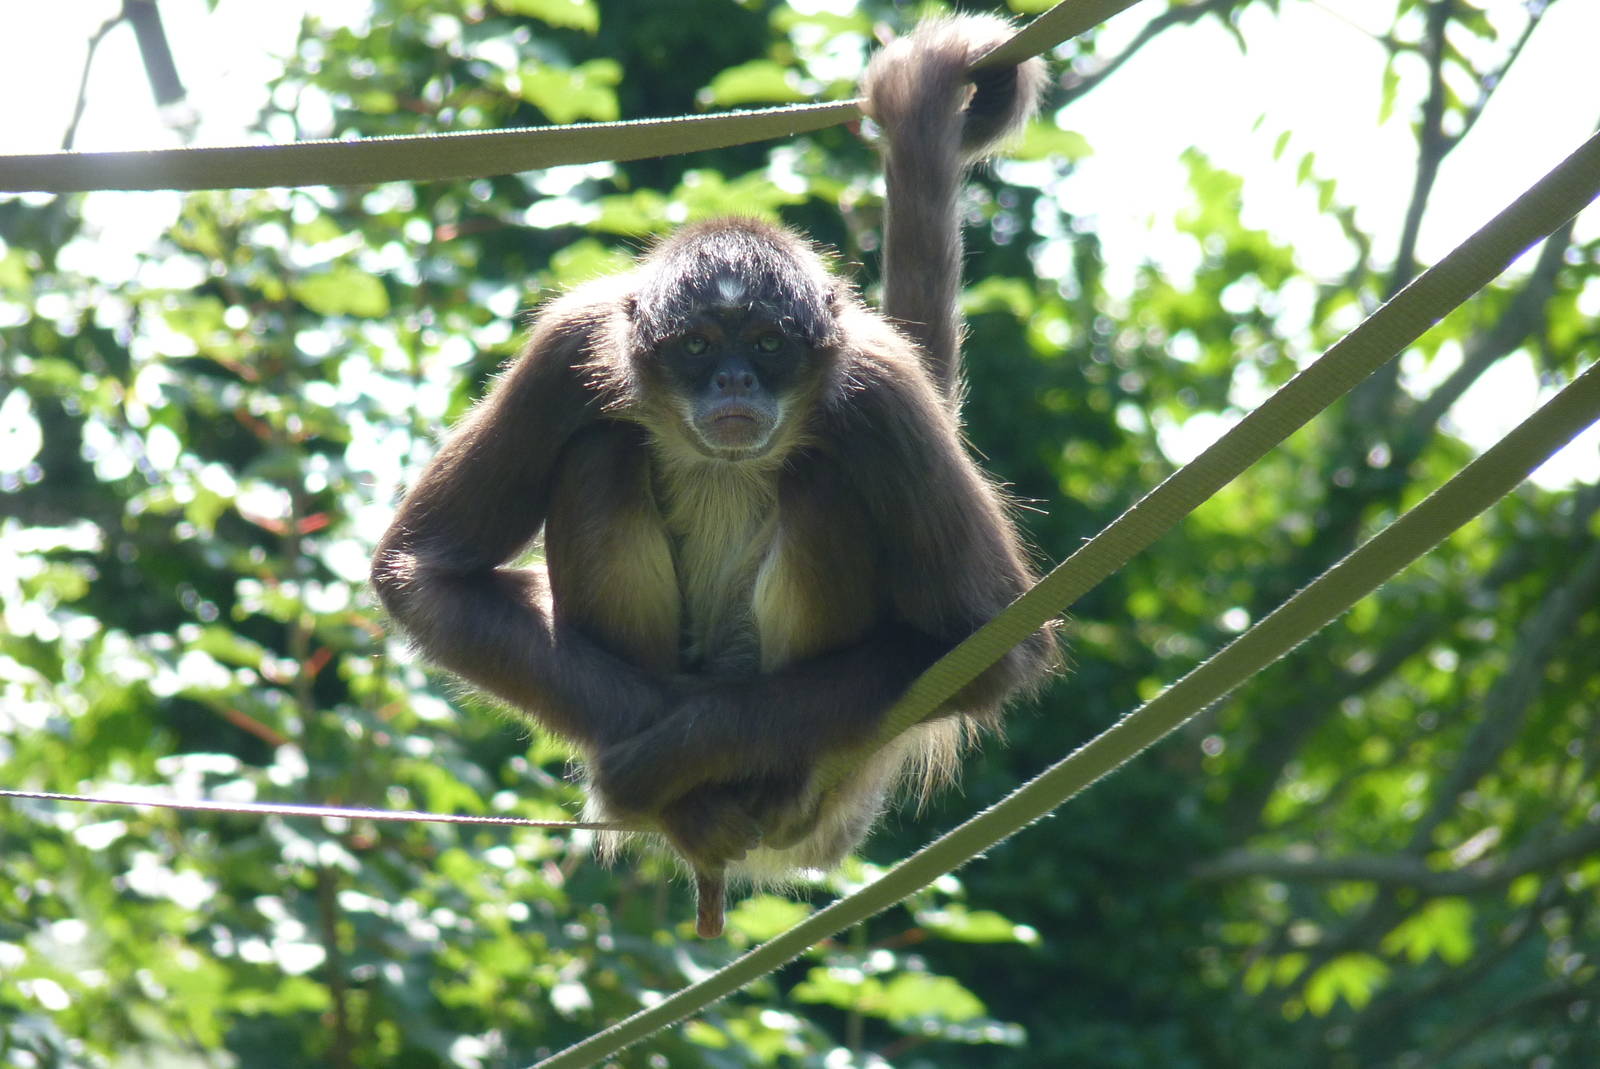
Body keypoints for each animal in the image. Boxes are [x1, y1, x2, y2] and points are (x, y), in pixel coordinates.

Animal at [371, 15, 1055, 937]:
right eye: (697, 346)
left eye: (767, 344)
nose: (734, 382)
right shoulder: (570, 344)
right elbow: (423, 572)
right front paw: (655, 762)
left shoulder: (884, 394)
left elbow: (995, 651)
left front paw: (686, 742)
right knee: (602, 450)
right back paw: (686, 809)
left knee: (819, 478)